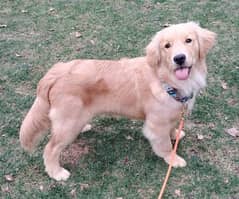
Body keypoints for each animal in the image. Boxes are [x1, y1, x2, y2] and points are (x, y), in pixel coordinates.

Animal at [19, 21, 217, 180]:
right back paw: (56, 173)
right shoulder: (155, 124)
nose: (179, 58)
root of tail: (56, 72)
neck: (166, 80)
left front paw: (176, 133)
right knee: (50, 148)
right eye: (167, 46)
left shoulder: (172, 114)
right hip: (68, 124)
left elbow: (173, 127)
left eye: (189, 40)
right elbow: (164, 144)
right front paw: (172, 158)